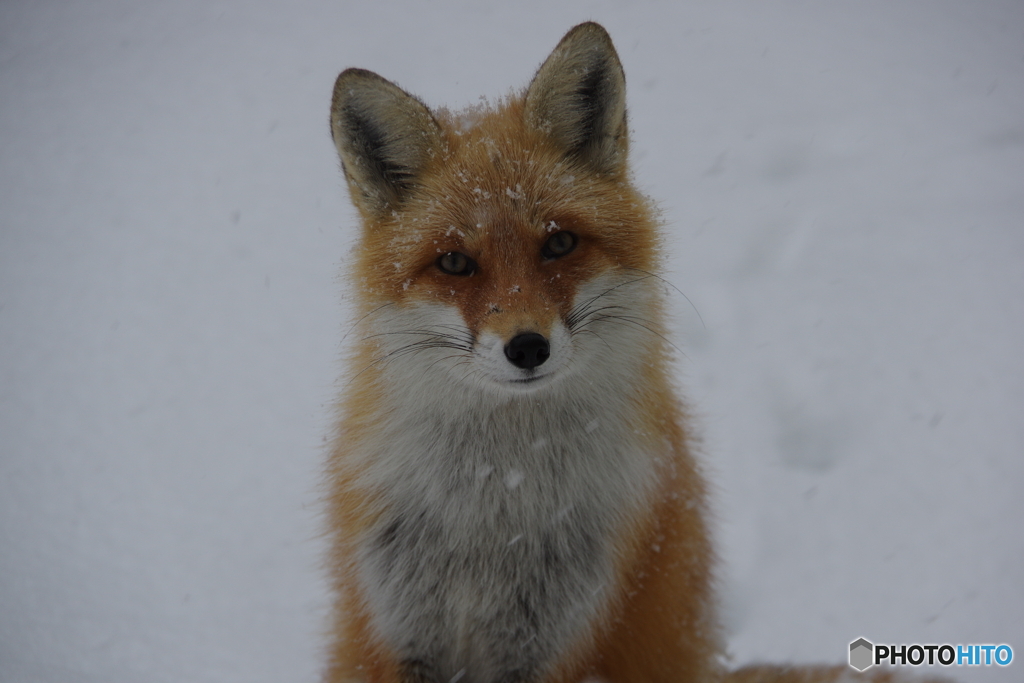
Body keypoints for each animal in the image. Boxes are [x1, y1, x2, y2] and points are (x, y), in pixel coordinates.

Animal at [323, 21, 946, 683]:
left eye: (560, 243)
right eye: (455, 263)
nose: (527, 347)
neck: (494, 510)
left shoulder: (563, 634)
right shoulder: (394, 627)